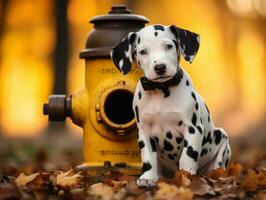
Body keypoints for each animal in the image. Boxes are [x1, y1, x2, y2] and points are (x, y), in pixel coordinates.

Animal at [110, 24, 231, 187]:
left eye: (168, 46)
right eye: (143, 51)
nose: (160, 67)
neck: (161, 90)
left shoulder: (193, 129)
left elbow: (188, 156)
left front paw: (186, 176)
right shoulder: (144, 132)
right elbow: (148, 158)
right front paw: (147, 178)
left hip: (222, 138)